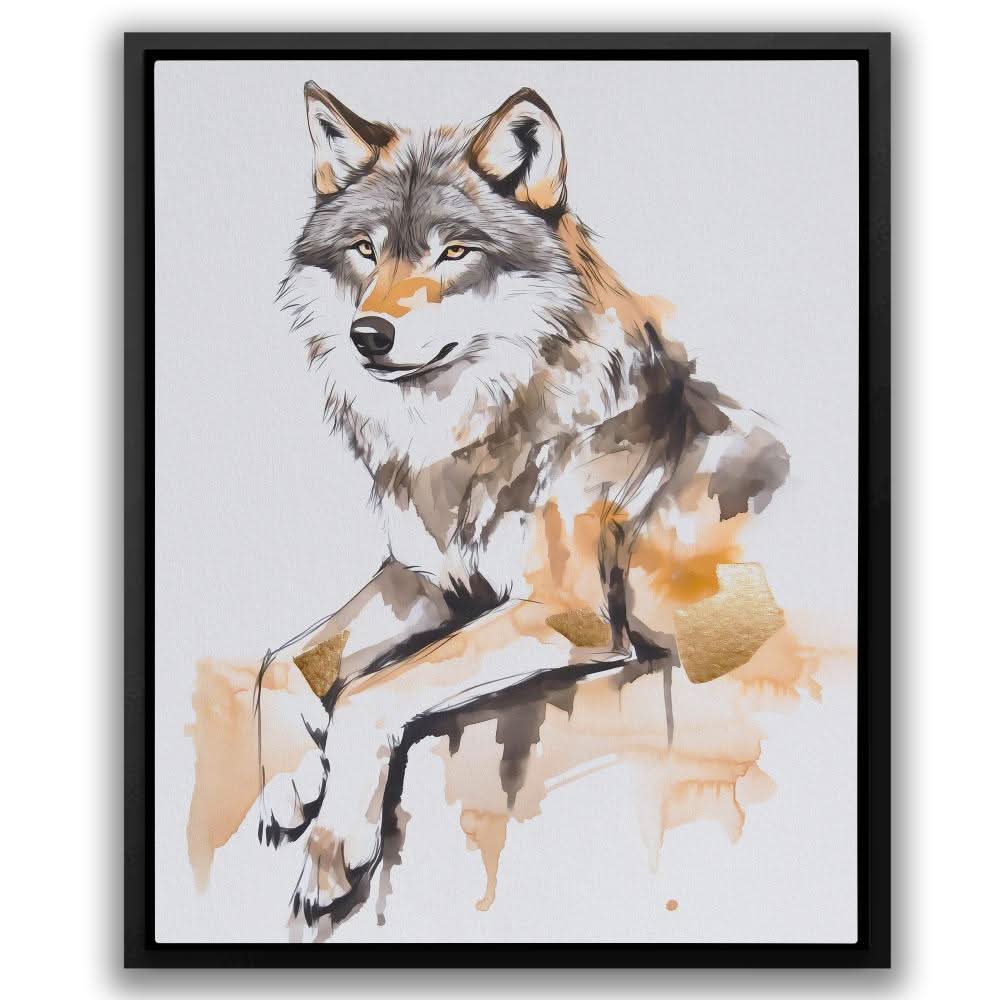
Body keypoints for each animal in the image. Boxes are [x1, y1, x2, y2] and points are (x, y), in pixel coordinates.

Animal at [259, 82, 790, 928]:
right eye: (366, 250)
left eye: (453, 252)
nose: (368, 334)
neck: (470, 437)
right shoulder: (427, 582)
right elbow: (278, 659)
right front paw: (288, 777)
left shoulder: (566, 611)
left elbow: (373, 690)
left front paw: (334, 846)